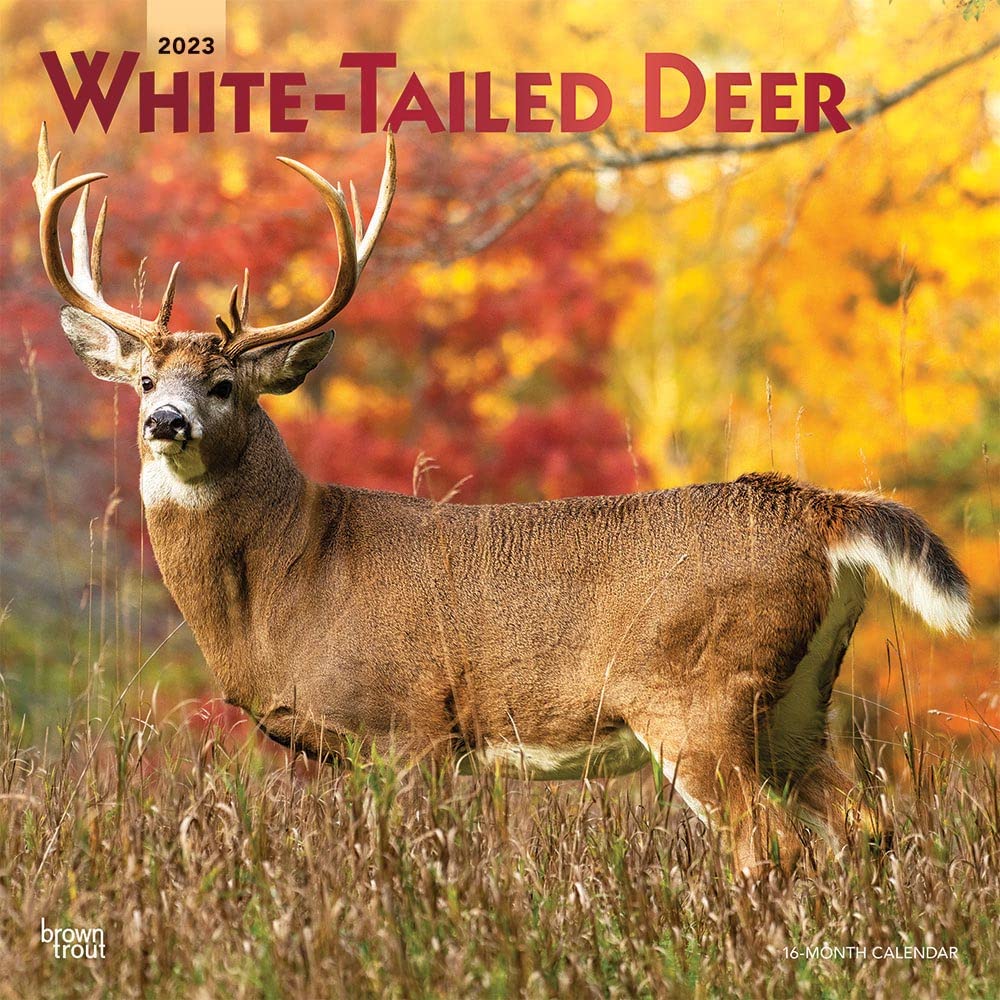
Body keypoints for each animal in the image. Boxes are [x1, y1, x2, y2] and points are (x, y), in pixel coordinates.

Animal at [33, 123, 972, 870]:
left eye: (224, 384)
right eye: (144, 378)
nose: (165, 420)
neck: (290, 577)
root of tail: (819, 512)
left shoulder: (409, 723)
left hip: (699, 694)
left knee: (767, 844)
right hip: (796, 701)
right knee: (868, 824)